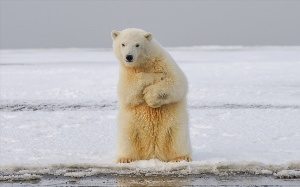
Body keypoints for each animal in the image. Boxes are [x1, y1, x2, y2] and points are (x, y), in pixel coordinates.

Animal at [111, 28, 191, 163]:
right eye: (123, 44)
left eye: (137, 44)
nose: (129, 57)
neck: (144, 63)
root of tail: (153, 153)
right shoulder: (126, 73)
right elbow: (128, 90)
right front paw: (156, 76)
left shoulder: (164, 62)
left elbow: (177, 82)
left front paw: (150, 97)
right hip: (130, 126)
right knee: (127, 139)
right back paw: (125, 158)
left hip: (175, 125)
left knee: (178, 139)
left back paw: (181, 157)